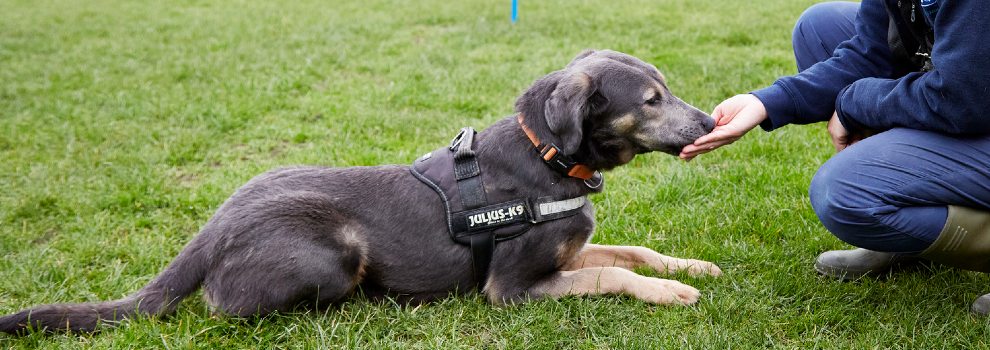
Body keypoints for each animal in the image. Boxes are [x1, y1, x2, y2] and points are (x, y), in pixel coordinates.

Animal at [3, 48, 724, 334]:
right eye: (652, 100)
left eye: (667, 88)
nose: (713, 123)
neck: (549, 155)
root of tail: (210, 230)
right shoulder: (511, 288)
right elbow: (615, 274)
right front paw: (672, 292)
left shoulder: (569, 252)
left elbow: (632, 252)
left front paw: (691, 266)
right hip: (336, 254)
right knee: (224, 306)